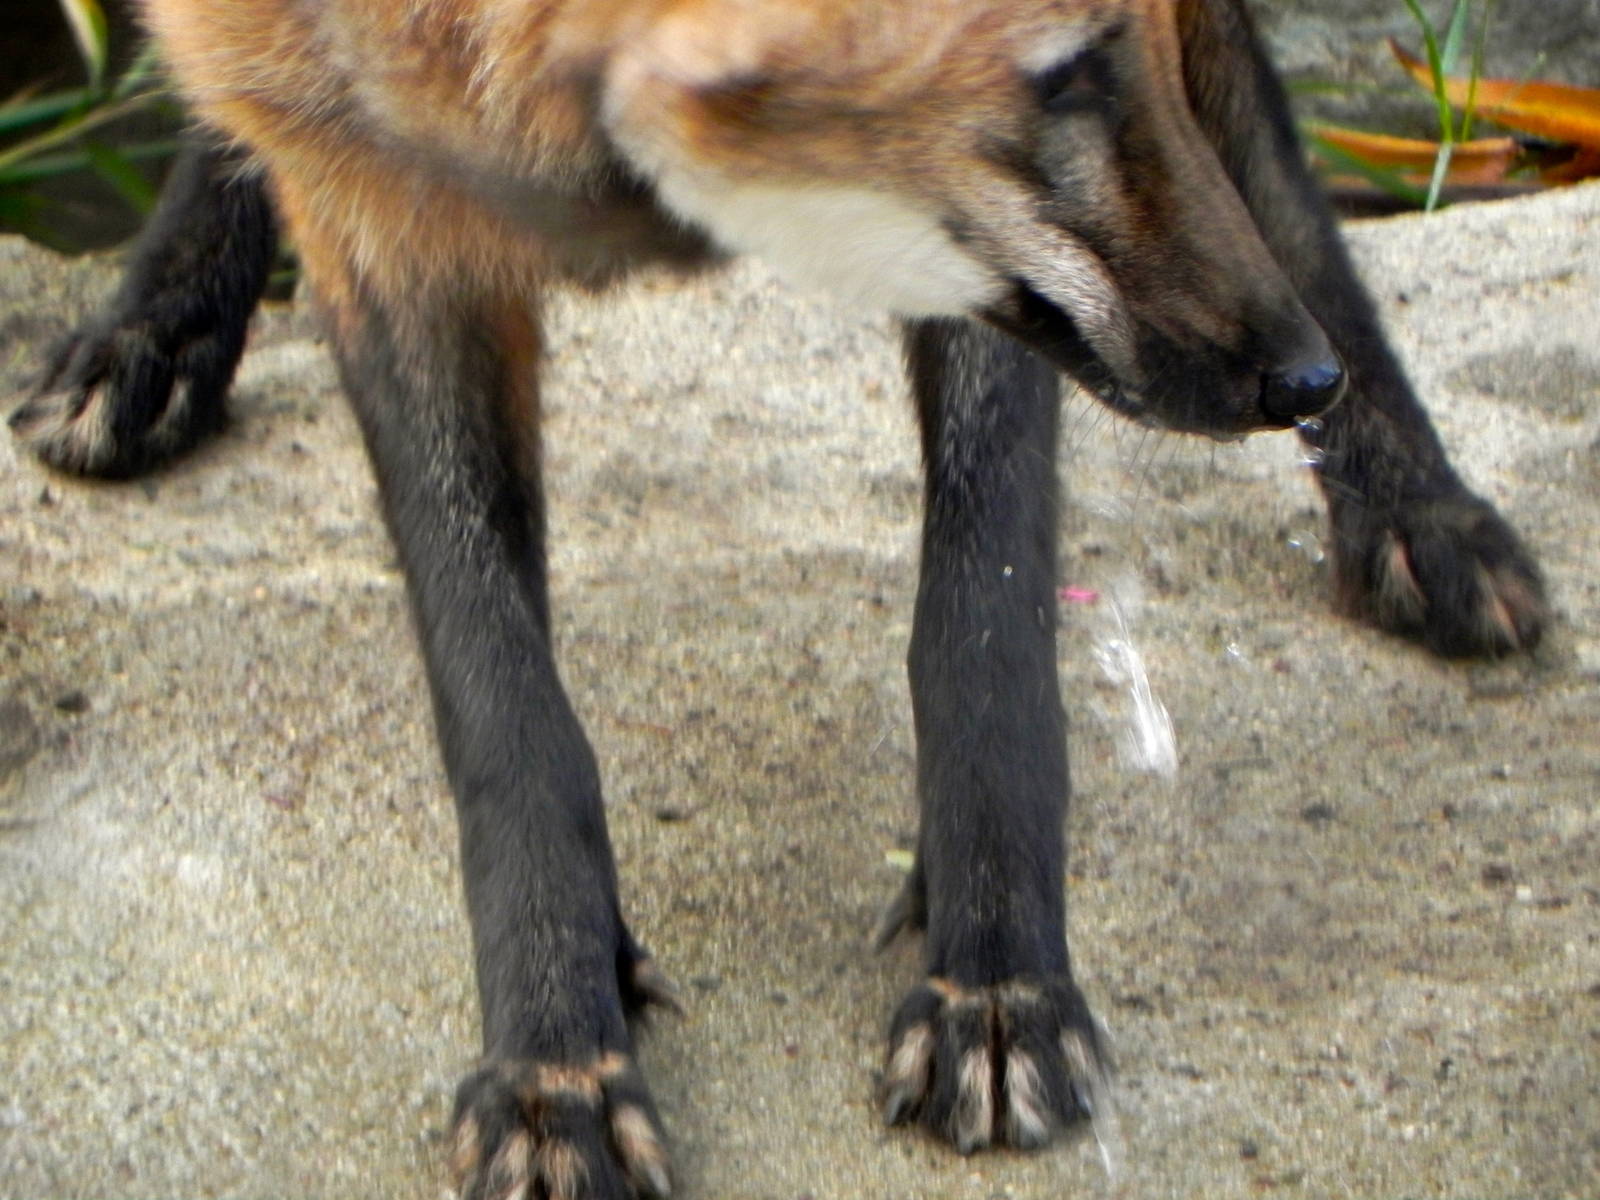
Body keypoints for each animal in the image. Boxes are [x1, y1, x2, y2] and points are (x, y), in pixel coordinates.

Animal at [10, 0, 1546, 1195]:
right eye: (1059, 74)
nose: (1300, 378)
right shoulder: (388, 210)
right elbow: (507, 711)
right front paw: (555, 1057)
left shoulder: (970, 249)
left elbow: (983, 621)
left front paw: (999, 975)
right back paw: (150, 326)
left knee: (1263, 122)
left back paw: (1415, 503)